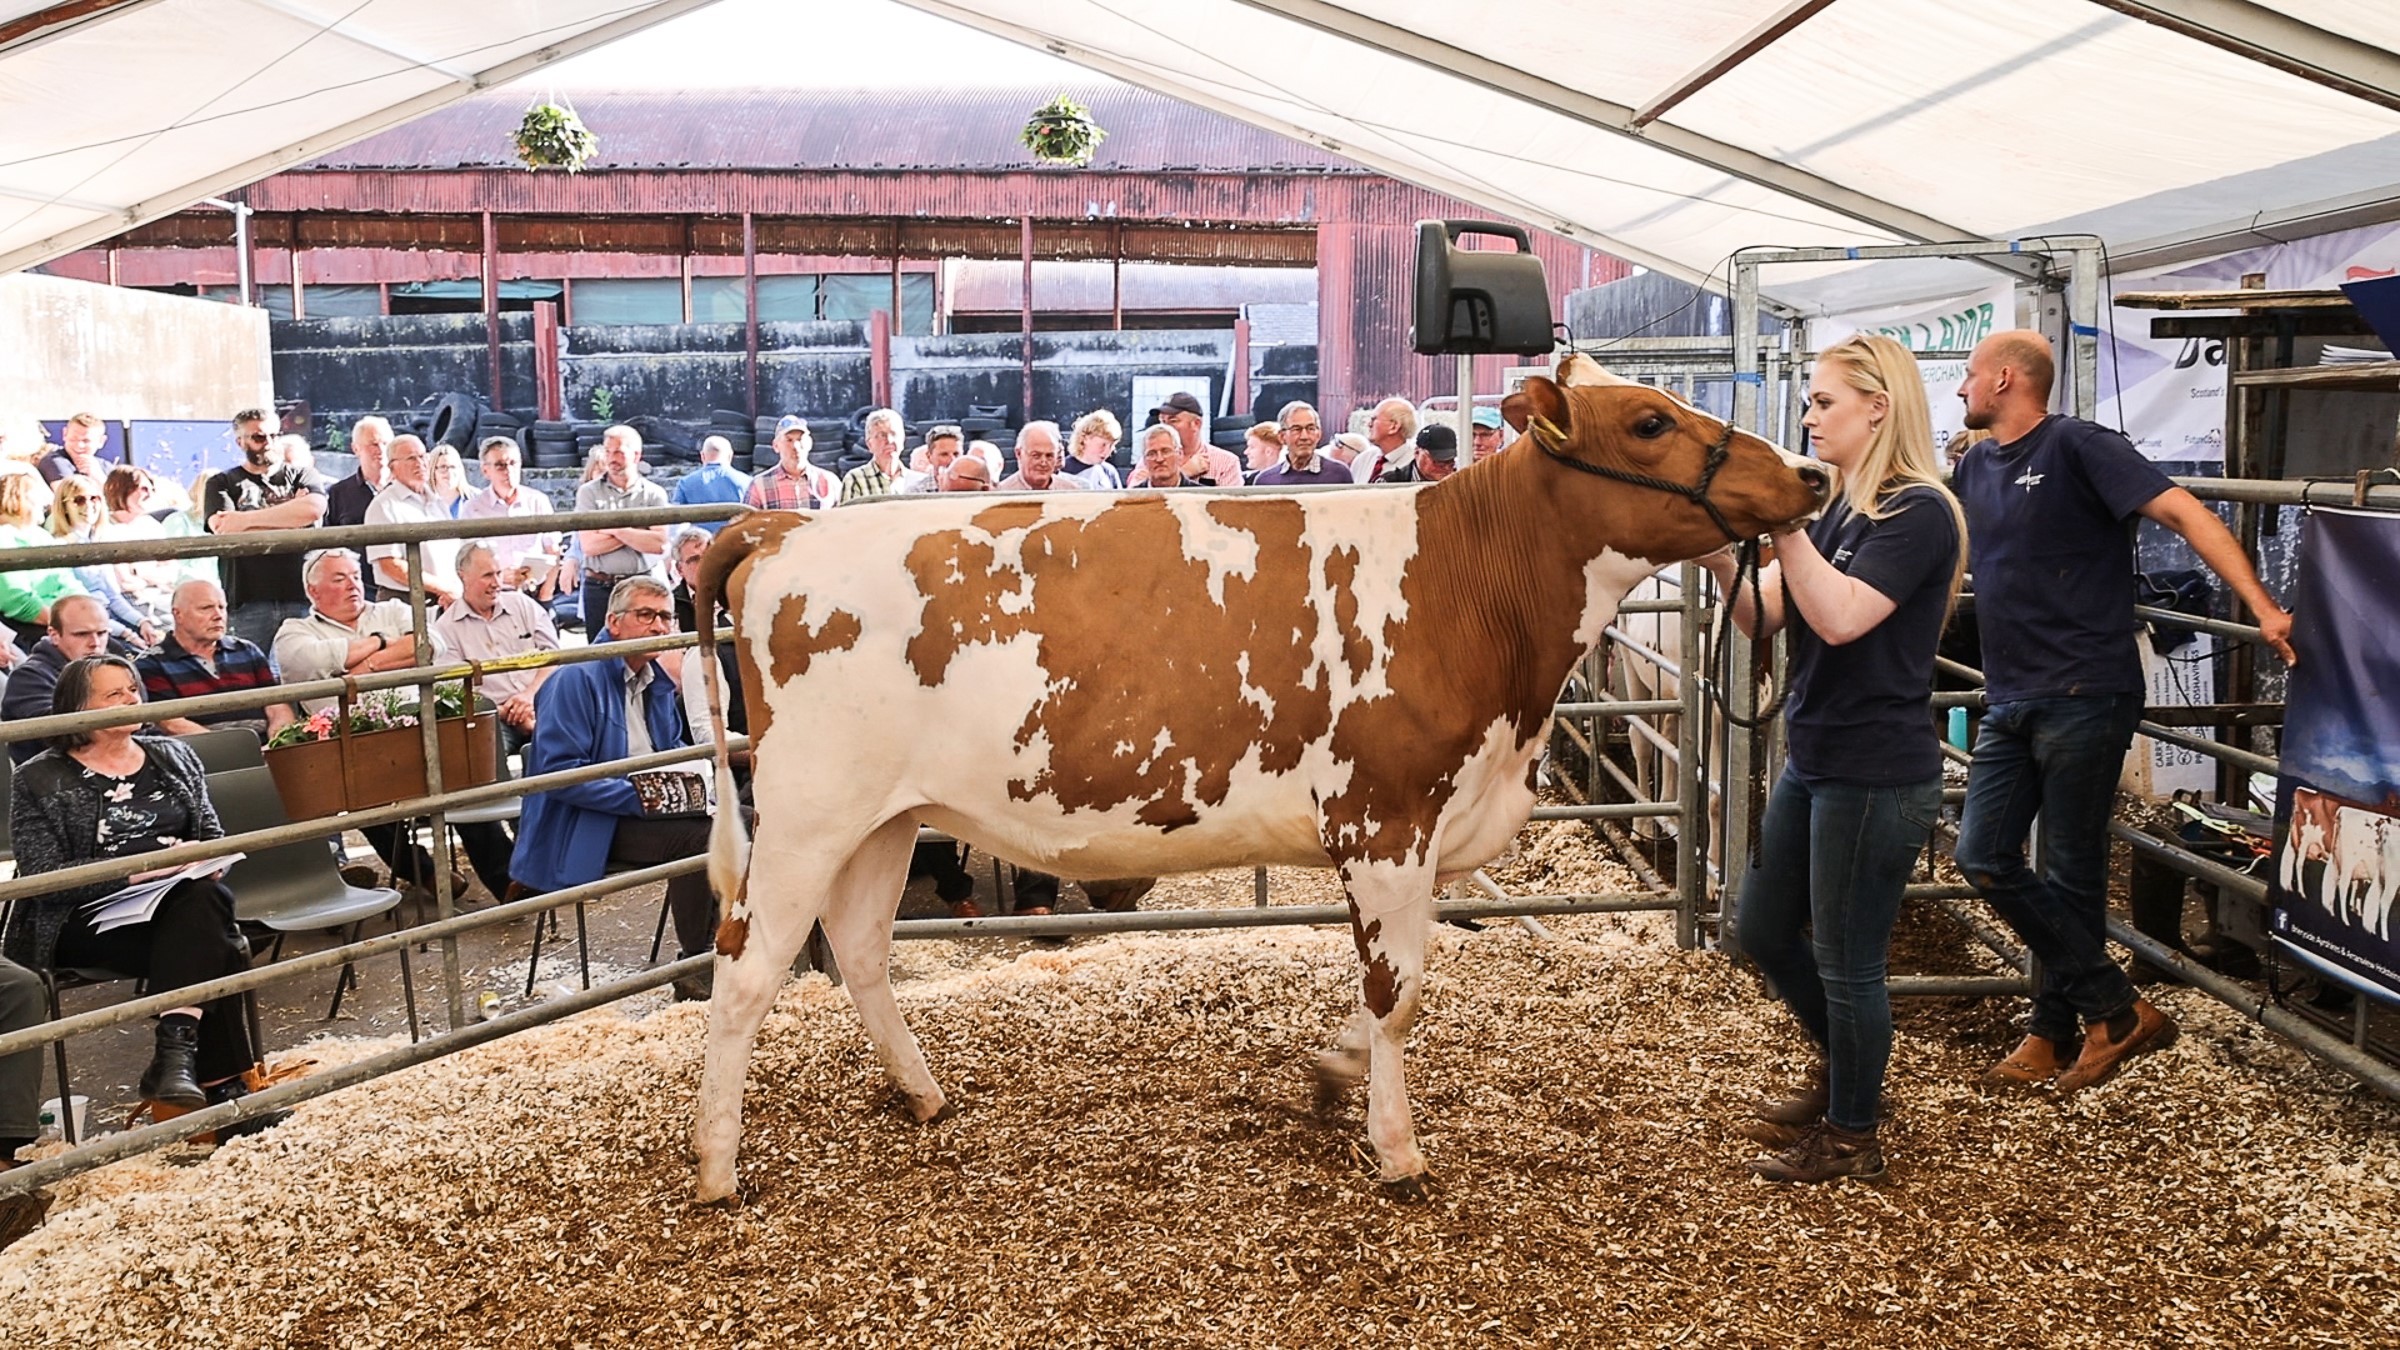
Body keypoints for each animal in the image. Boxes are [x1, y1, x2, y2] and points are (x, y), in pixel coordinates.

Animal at [696, 369, 1833, 1196]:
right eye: (1649, 421)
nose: (1812, 474)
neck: (1469, 584)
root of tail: (782, 528)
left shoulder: (1434, 825)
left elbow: (1399, 985)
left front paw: (1331, 1076)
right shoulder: (1384, 819)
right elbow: (1398, 993)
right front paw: (1397, 1149)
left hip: (886, 819)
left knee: (858, 948)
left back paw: (924, 1095)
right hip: (806, 813)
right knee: (746, 970)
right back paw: (716, 1167)